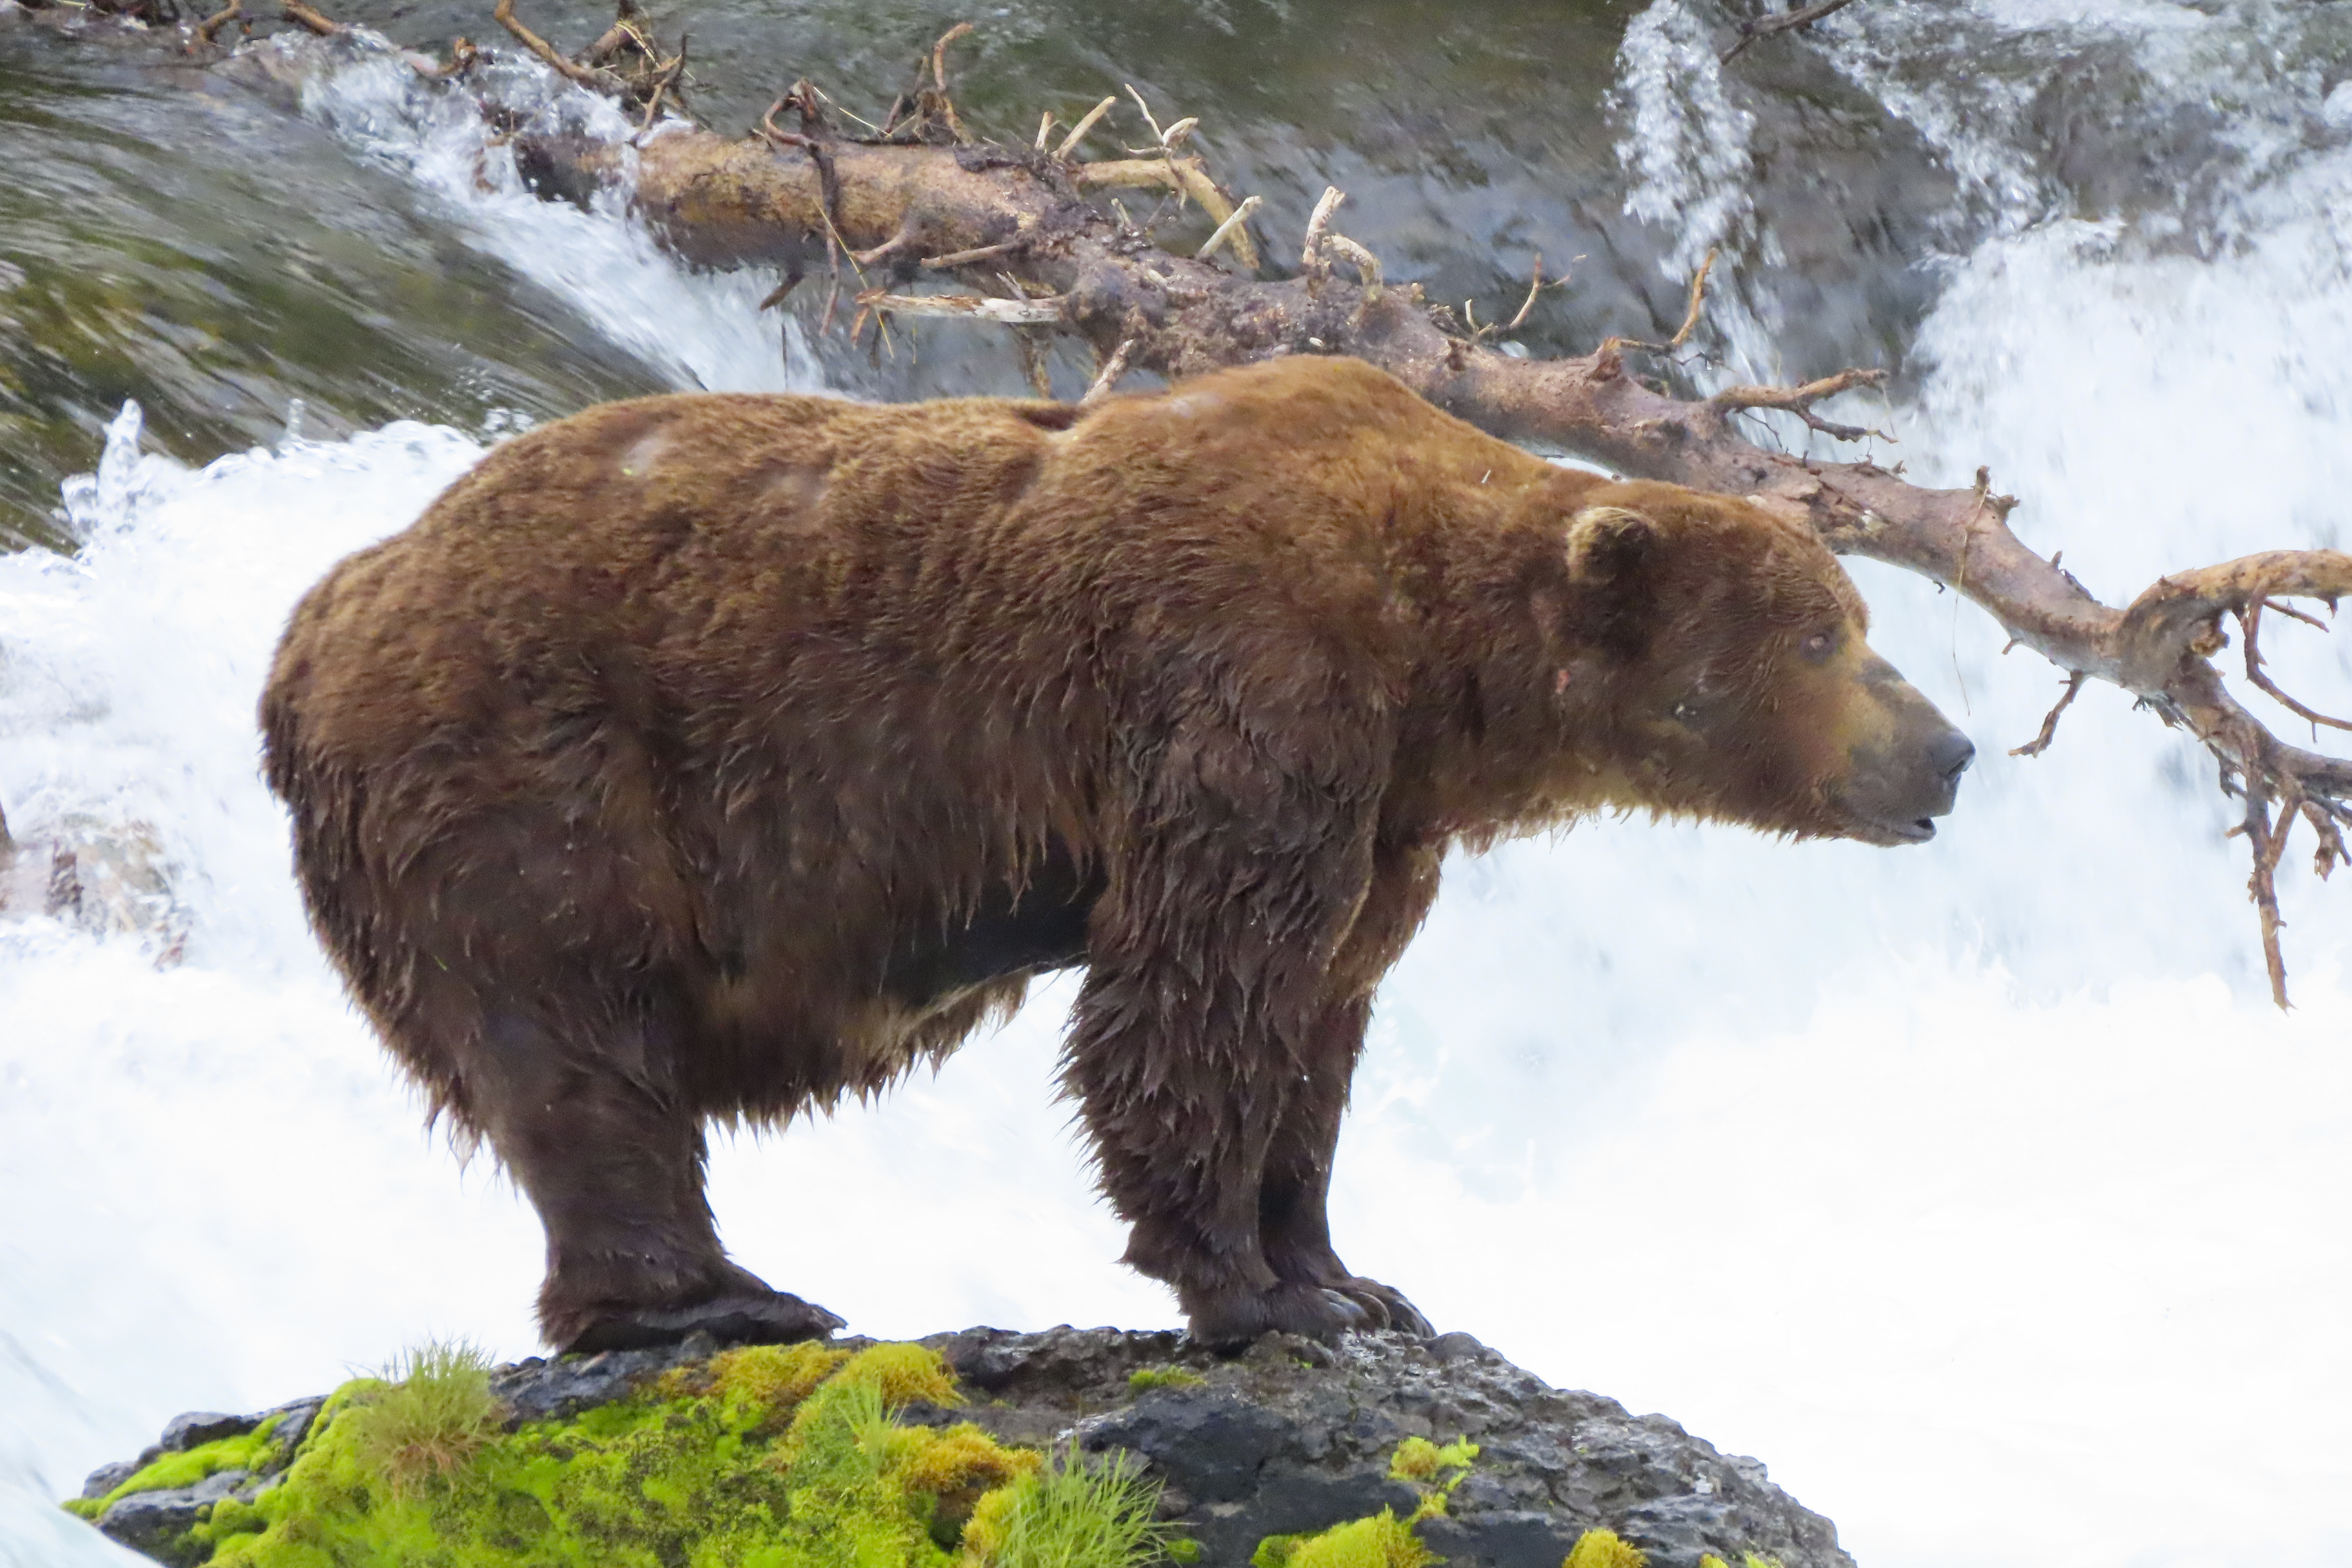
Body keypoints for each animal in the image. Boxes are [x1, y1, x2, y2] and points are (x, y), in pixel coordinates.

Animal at [257, 353, 1966, 1354]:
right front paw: (1245, 1285)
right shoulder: (1247, 697)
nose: (1947, 750)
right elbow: (1195, 995)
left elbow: (1319, 1022)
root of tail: (319, 615)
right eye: (1823, 637)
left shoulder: (1383, 817)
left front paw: (1343, 1270)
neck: (1439, 666)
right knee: (579, 1039)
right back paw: (713, 1294)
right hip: (531, 766)